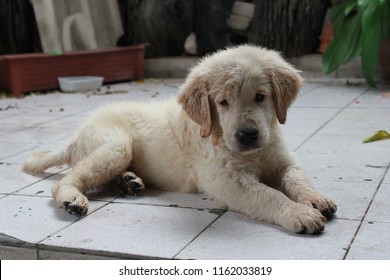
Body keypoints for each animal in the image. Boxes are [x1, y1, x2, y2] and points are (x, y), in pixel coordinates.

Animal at [24, 45, 336, 234]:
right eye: (222, 103)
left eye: (260, 97)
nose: (247, 135)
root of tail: (77, 133)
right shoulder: (226, 180)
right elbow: (269, 195)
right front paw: (299, 213)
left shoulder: (283, 160)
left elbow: (297, 178)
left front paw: (315, 199)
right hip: (115, 145)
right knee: (65, 181)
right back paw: (73, 199)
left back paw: (129, 181)